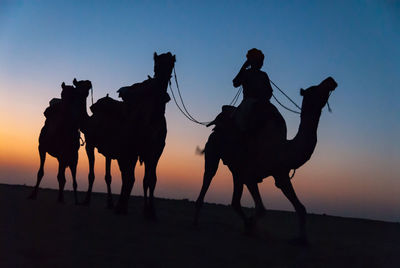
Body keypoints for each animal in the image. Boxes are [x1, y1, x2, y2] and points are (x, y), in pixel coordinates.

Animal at [79, 52, 175, 218]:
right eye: (156, 65)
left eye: (171, 65)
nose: (161, 90)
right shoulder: (111, 148)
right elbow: (109, 176)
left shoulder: (155, 150)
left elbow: (150, 179)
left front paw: (151, 212)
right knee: (127, 176)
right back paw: (120, 206)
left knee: (131, 177)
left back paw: (122, 206)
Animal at [194, 76, 338, 242]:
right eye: (315, 89)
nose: (331, 80)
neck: (283, 149)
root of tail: (216, 126)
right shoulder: (250, 175)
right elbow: (262, 209)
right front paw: (250, 226)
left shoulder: (280, 174)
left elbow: (300, 208)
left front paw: (302, 239)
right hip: (214, 151)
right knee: (209, 176)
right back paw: (195, 222)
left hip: (236, 168)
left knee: (235, 201)